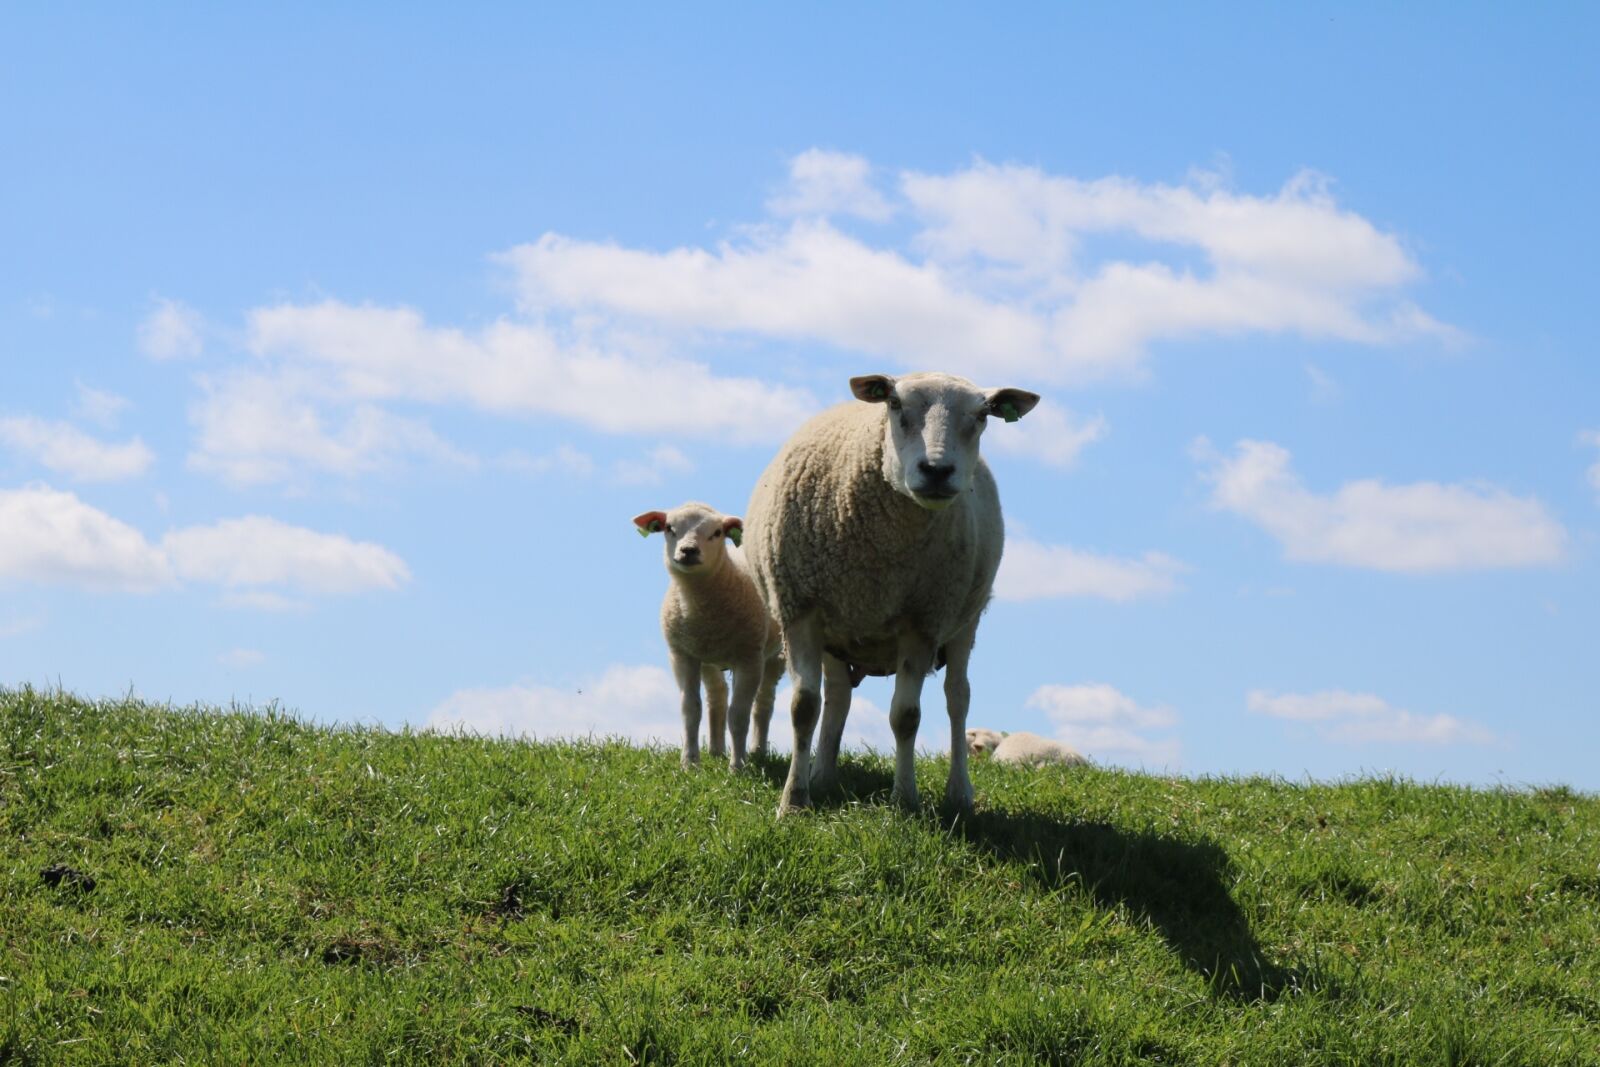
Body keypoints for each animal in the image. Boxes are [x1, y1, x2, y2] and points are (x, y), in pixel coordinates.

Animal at [634, 501, 783, 771]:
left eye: (716, 533)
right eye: (669, 528)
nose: (688, 550)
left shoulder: (749, 657)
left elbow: (739, 714)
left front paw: (738, 767)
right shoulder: (683, 654)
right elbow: (691, 709)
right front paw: (690, 763)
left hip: (777, 655)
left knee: (764, 701)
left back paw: (757, 751)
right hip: (708, 657)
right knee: (717, 696)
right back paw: (716, 750)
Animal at [744, 371, 1040, 815]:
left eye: (983, 415)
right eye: (895, 403)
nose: (937, 470)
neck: (878, 555)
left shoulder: (923, 621)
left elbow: (906, 716)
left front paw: (905, 800)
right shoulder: (800, 610)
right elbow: (804, 708)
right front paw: (794, 800)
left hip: (965, 620)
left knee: (958, 698)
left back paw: (959, 793)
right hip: (838, 631)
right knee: (837, 697)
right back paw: (823, 776)